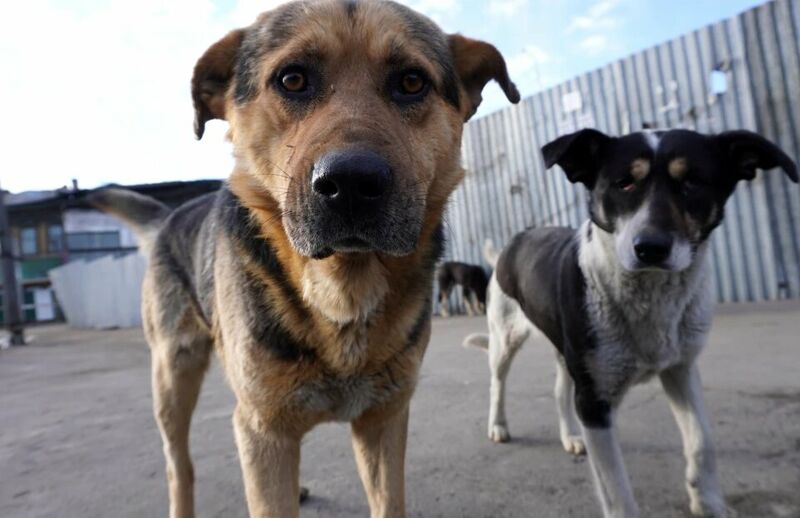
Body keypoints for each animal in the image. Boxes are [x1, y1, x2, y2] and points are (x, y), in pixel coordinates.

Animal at [92, 1, 520, 518]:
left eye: (412, 81)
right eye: (292, 79)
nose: (352, 183)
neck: (342, 292)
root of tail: (170, 215)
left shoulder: (383, 420)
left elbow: (387, 500)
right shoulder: (264, 427)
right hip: (173, 377)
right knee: (180, 465)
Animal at [466, 127, 796, 518]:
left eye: (692, 182)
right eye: (623, 183)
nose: (650, 248)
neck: (650, 295)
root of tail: (516, 239)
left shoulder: (681, 369)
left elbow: (702, 440)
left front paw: (708, 502)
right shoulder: (594, 402)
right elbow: (617, 492)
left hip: (567, 351)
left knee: (560, 389)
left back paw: (570, 437)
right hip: (505, 337)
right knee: (497, 383)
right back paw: (498, 426)